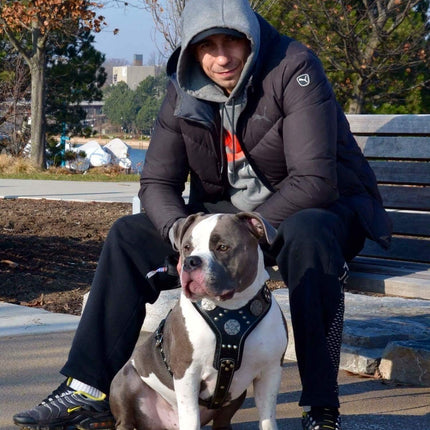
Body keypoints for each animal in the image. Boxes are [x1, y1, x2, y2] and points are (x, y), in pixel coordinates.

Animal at [109, 212, 288, 430]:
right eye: (187, 247)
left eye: (222, 247)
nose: (191, 261)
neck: (232, 311)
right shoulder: (188, 373)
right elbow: (191, 417)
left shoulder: (270, 372)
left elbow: (268, 418)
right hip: (125, 382)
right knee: (125, 419)